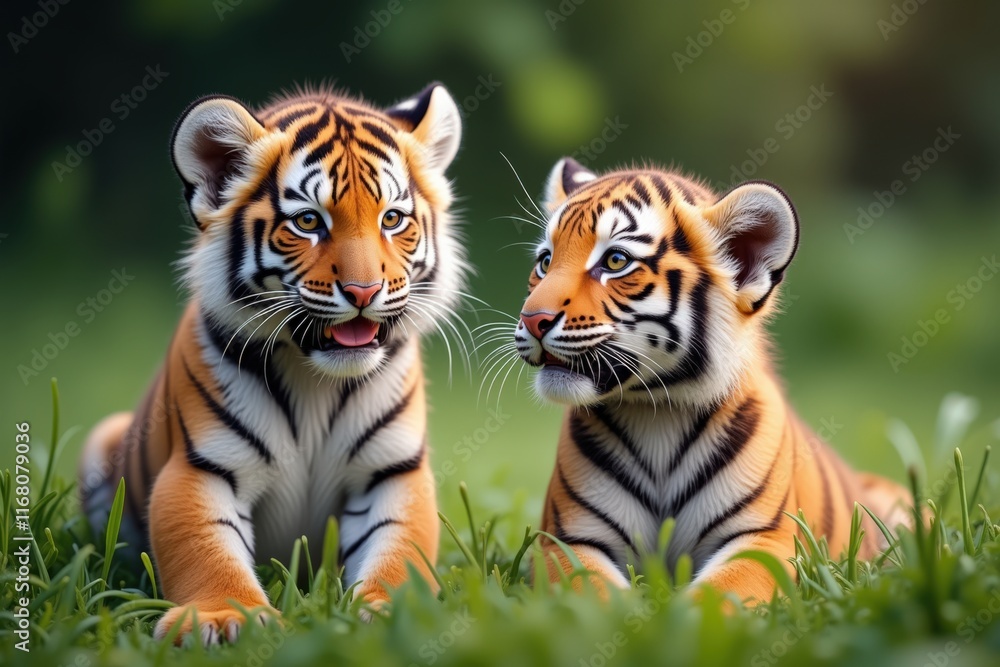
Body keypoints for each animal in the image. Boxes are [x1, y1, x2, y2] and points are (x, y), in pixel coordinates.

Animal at [78, 82, 465, 643]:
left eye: (392, 219)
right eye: (308, 222)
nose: (364, 292)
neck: (315, 379)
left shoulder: (392, 471)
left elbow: (402, 548)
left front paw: (395, 612)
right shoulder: (202, 467)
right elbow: (205, 548)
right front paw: (223, 618)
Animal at [511, 157, 914, 604]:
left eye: (616, 261)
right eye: (545, 261)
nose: (532, 319)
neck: (657, 414)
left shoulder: (763, 539)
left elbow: (718, 596)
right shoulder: (566, 540)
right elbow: (594, 594)